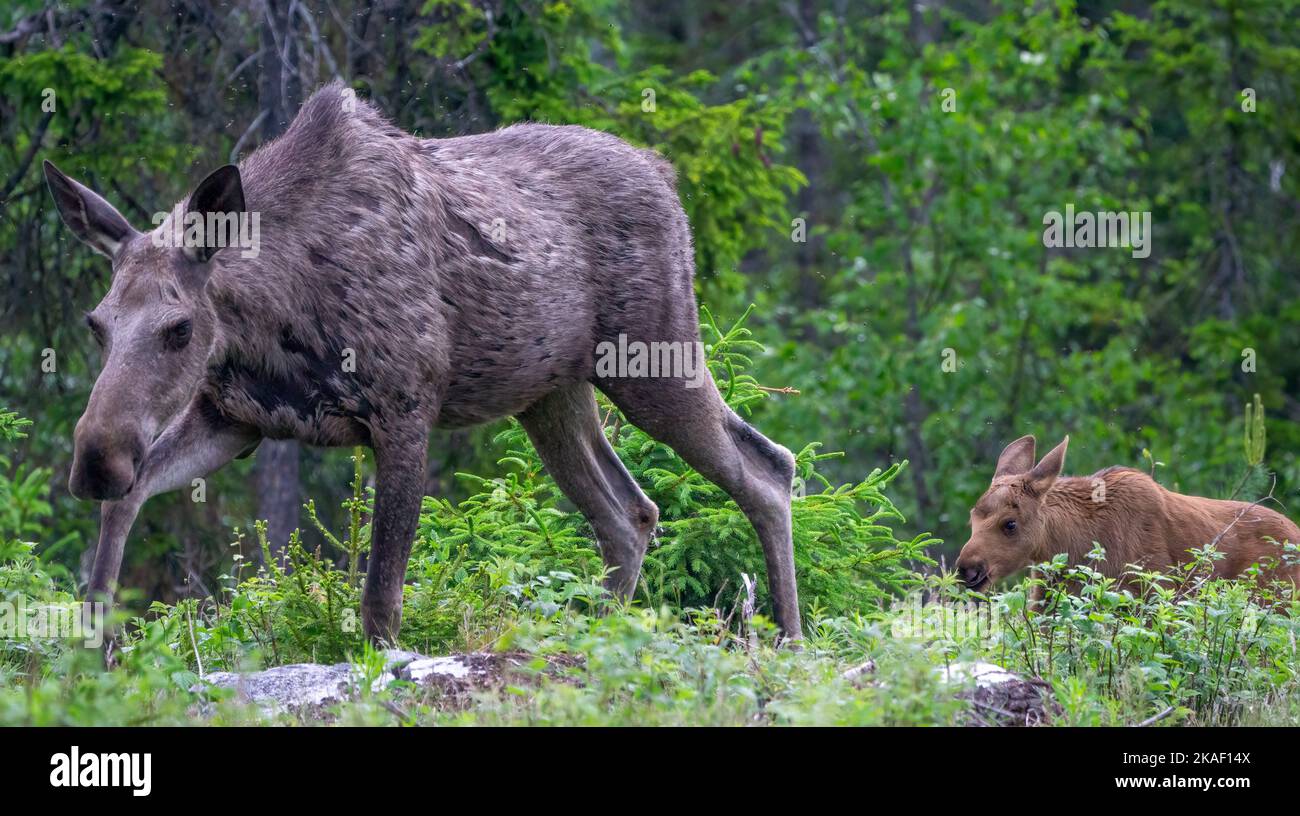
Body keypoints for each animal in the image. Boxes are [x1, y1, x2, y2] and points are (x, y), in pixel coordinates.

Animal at [43, 81, 802, 645]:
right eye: (95, 323)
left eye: (178, 329)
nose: (95, 460)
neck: (269, 316)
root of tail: (667, 175)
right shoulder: (237, 418)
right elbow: (131, 500)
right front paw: (97, 644)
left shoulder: (405, 411)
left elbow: (381, 602)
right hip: (551, 395)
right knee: (631, 512)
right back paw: (594, 637)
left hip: (655, 357)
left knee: (768, 467)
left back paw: (790, 639)